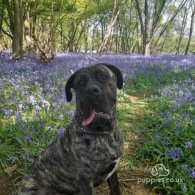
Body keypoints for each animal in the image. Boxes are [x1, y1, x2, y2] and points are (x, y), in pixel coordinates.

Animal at [17, 63, 123, 194]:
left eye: (102, 76)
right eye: (81, 82)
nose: (91, 91)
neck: (102, 133)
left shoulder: (113, 174)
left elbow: (116, 189)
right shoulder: (86, 182)